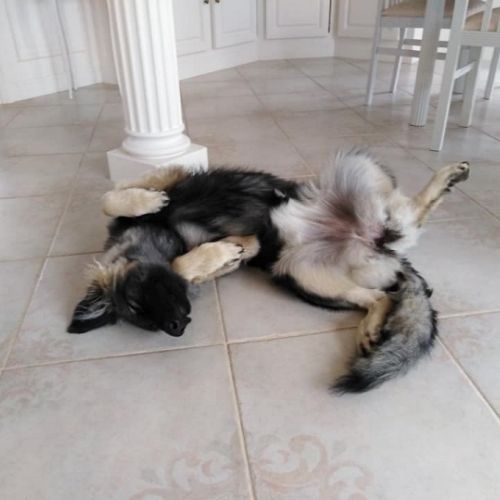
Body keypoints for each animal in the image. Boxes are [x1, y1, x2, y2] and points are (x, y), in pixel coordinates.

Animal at [68, 150, 470, 392]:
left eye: (137, 300)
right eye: (144, 321)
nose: (177, 329)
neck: (166, 231)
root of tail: (373, 242)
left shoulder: (168, 177)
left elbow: (111, 198)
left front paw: (149, 204)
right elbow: (196, 262)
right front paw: (215, 259)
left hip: (354, 167)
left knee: (410, 212)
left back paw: (447, 177)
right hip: (305, 278)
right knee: (380, 294)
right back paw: (371, 325)